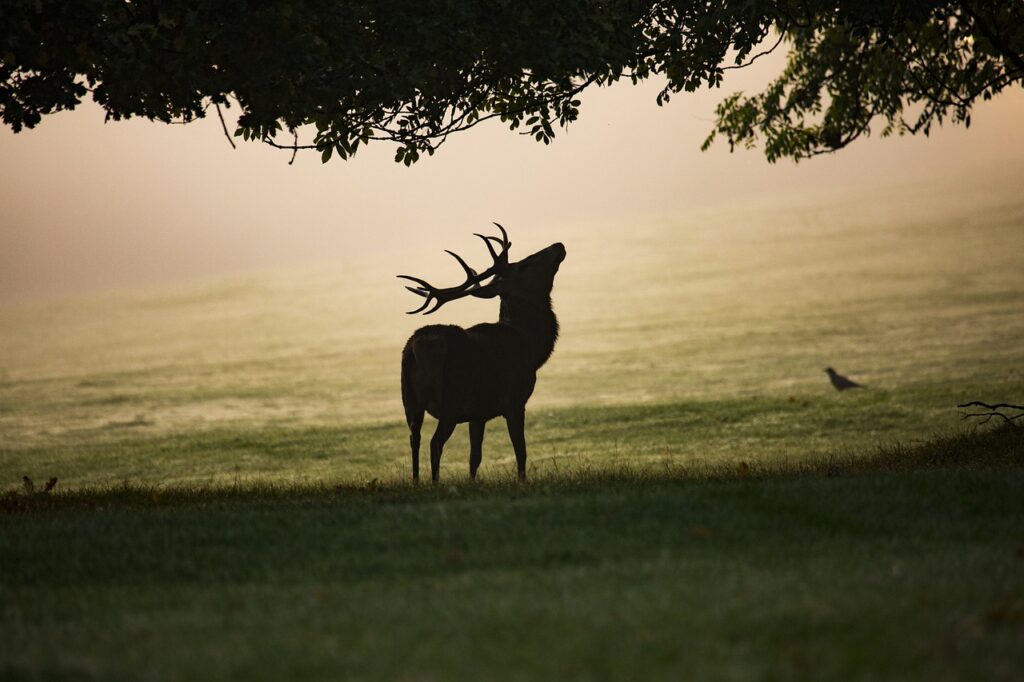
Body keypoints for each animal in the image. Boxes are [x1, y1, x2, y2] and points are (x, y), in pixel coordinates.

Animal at [398, 223, 565, 483]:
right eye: (524, 265)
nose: (558, 245)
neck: (530, 346)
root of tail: (416, 347)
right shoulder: (514, 399)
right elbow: (521, 451)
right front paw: (521, 481)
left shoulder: (477, 413)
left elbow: (474, 458)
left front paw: (472, 482)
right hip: (451, 398)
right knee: (435, 444)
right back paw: (434, 483)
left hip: (410, 399)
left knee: (414, 439)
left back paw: (416, 483)